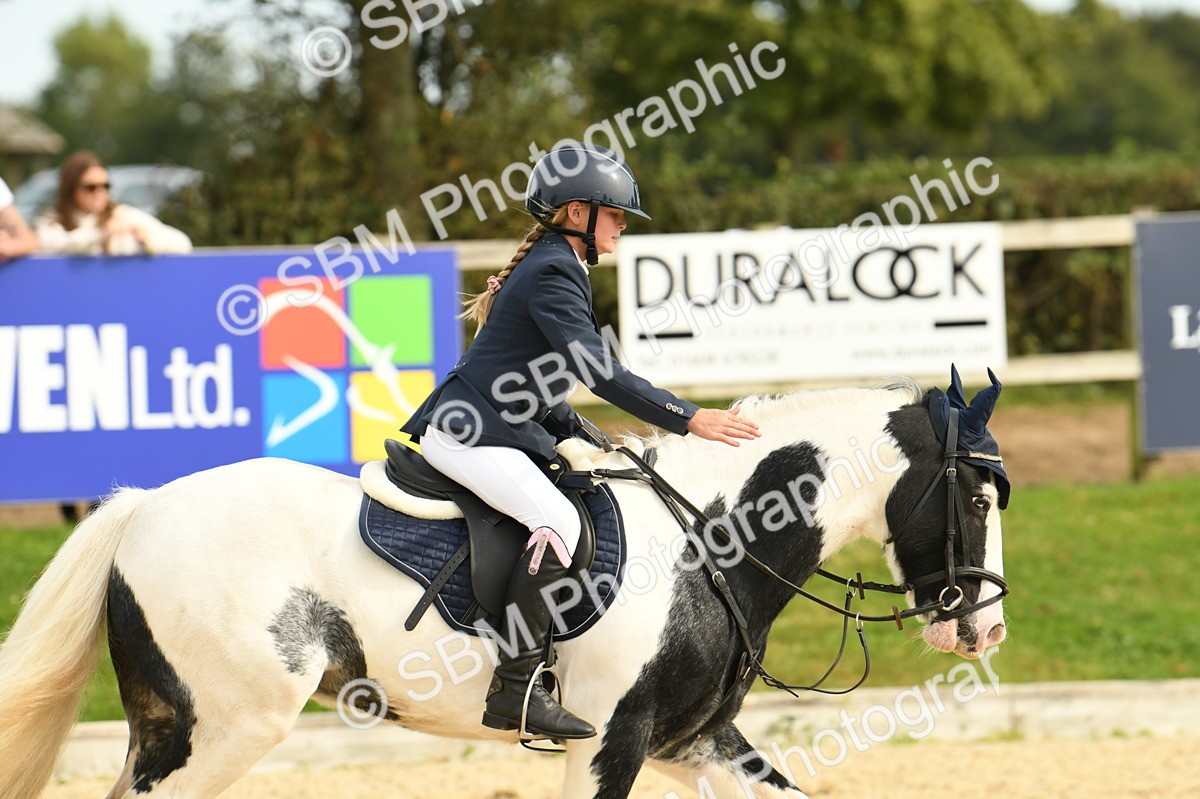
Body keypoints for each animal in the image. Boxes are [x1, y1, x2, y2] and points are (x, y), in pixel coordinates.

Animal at [0, 372, 1009, 799]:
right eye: (973, 493)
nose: (985, 631)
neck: (709, 545)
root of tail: (142, 507)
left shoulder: (691, 739)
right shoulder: (613, 738)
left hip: (168, 722)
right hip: (231, 721)